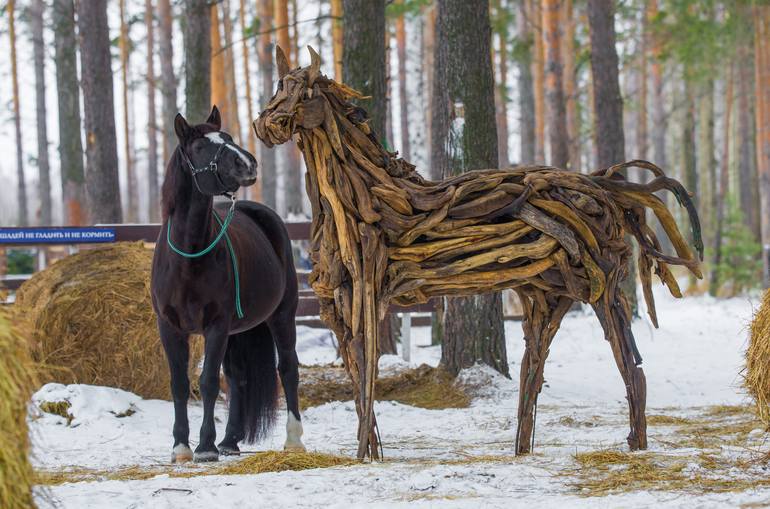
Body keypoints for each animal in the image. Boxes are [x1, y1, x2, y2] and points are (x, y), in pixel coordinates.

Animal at [152, 106, 304, 460]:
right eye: (199, 147)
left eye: (228, 137)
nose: (247, 163)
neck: (188, 258)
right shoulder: (170, 327)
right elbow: (180, 384)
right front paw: (181, 446)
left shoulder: (217, 325)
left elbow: (208, 381)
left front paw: (205, 446)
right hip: (239, 332)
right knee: (239, 378)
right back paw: (230, 440)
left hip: (281, 316)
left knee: (288, 368)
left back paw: (293, 440)